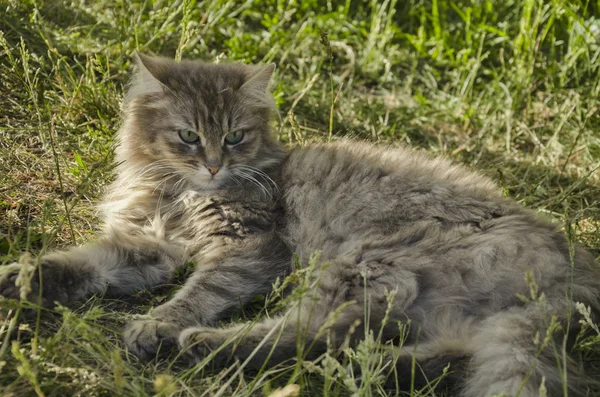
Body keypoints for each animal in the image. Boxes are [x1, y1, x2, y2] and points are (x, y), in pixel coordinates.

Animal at [1, 53, 600, 396]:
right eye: (189, 137)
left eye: (236, 136)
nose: (213, 165)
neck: (177, 194)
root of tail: (575, 270)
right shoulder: (145, 245)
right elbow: (79, 264)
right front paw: (23, 278)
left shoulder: (247, 248)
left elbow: (195, 293)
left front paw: (156, 323)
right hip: (440, 314)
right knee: (408, 349)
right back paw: (368, 369)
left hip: (364, 262)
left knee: (314, 330)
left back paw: (207, 347)